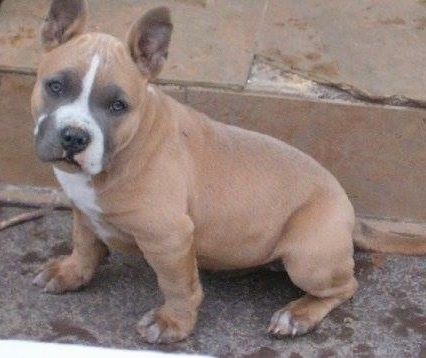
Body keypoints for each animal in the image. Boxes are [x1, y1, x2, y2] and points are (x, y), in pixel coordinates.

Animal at [31, 0, 424, 344]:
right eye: (55, 86)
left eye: (118, 106)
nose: (74, 137)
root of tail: (350, 214)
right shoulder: (83, 209)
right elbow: (84, 243)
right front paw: (72, 273)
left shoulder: (170, 237)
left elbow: (177, 285)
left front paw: (172, 323)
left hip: (309, 257)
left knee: (346, 287)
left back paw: (298, 315)